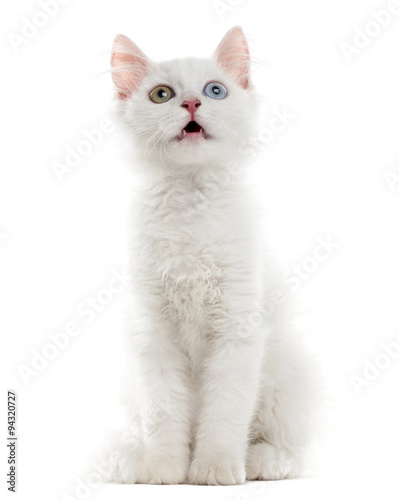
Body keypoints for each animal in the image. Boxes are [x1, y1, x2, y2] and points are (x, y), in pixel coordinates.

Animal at [104, 26, 322, 484]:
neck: (190, 200)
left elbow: (225, 412)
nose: (191, 102)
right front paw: (163, 470)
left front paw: (216, 468)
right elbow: (162, 413)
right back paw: (128, 462)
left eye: (215, 90)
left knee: (290, 446)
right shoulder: (152, 332)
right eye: (161, 95)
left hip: (287, 372)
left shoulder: (238, 329)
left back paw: (262, 461)